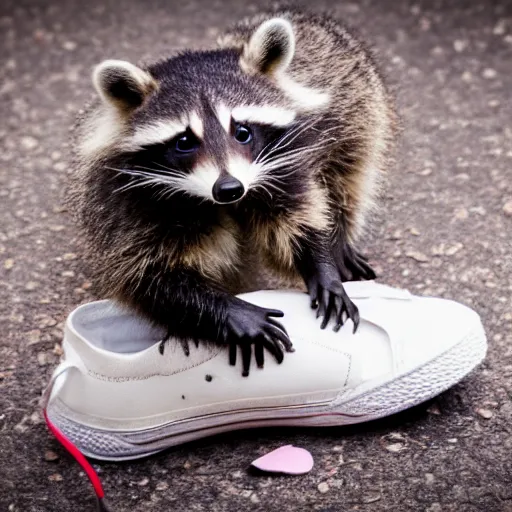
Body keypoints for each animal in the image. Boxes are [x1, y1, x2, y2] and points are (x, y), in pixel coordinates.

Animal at [68, 7, 396, 376]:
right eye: (184, 142)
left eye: (242, 132)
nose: (229, 188)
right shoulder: (124, 204)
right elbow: (148, 277)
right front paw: (229, 312)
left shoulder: (285, 160)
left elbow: (298, 216)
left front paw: (320, 261)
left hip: (357, 109)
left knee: (348, 177)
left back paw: (339, 237)